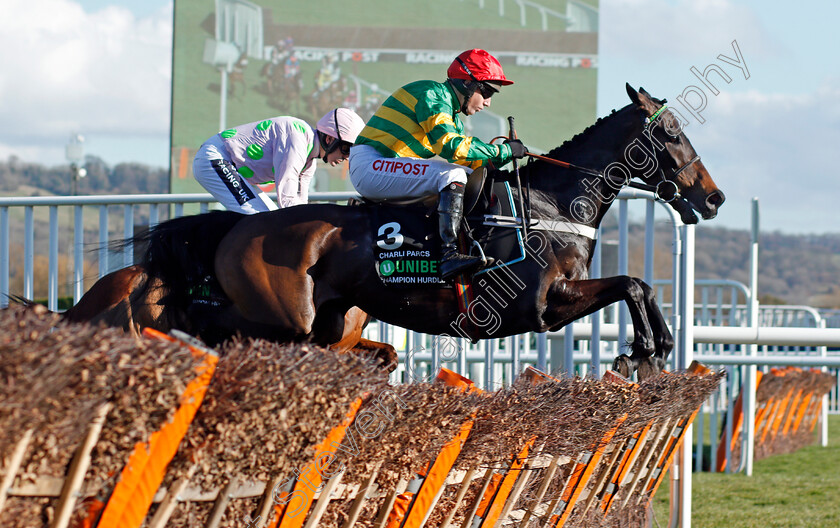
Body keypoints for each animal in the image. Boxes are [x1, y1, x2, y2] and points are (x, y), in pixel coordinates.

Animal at [67, 84, 720, 378]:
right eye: (673, 134)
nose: (712, 198)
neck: (548, 204)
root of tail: (234, 230)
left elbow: (639, 285)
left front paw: (653, 347)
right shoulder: (540, 306)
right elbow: (631, 283)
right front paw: (644, 349)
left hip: (315, 326)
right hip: (281, 320)